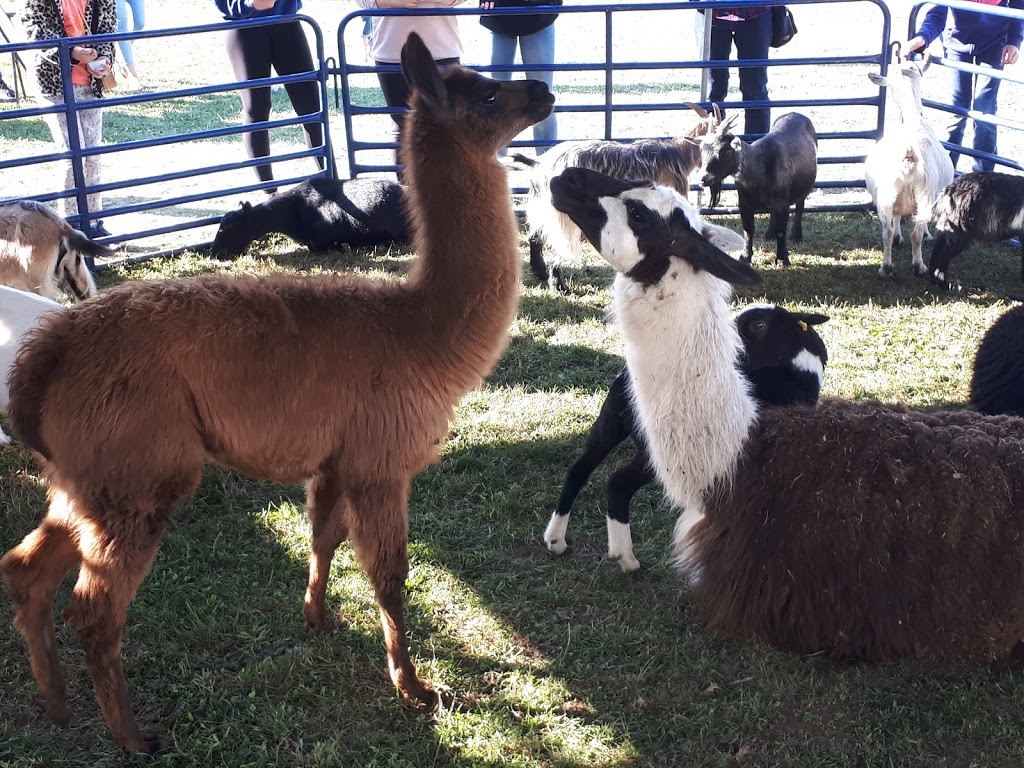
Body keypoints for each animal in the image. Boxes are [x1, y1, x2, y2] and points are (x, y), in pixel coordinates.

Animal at [522, 103, 714, 291]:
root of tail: (540, 163)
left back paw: (541, 272)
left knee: (536, 234)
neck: (677, 155)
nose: (709, 178)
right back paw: (558, 285)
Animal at [544, 304, 829, 572]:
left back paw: (556, 539)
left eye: (758, 324)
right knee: (618, 484)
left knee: (579, 469)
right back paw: (626, 557)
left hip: (610, 421)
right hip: (663, 452)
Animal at [696, 111, 817, 267]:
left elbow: (781, 231)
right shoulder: (744, 203)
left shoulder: (782, 203)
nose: (703, 178)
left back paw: (796, 235)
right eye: (702, 150)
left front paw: (782, 259)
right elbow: (748, 229)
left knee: (800, 205)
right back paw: (769, 234)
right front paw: (745, 257)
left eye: (725, 152)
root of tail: (795, 113)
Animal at [864, 56, 954, 278]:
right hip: (924, 195)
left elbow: (896, 218)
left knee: (886, 231)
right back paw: (918, 265)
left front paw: (898, 237)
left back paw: (886, 266)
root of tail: (909, 155)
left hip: (886, 195)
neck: (914, 119)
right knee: (916, 233)